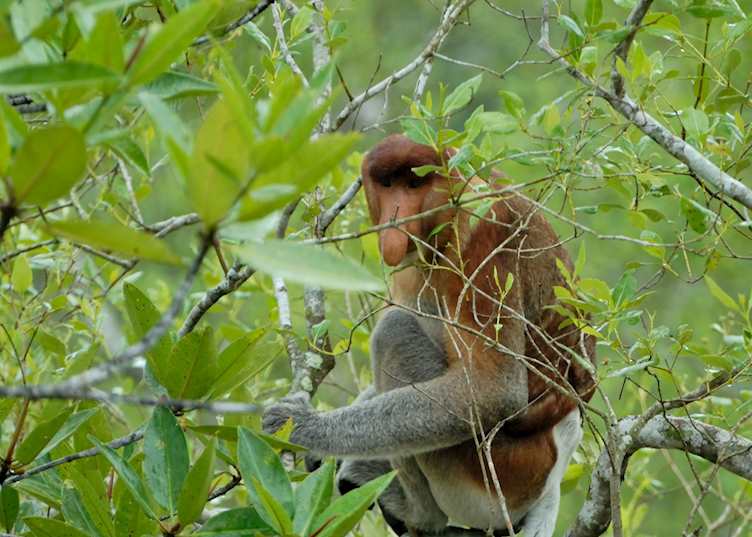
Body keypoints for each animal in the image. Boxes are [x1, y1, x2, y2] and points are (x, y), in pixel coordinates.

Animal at [263, 134, 596, 537]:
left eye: (414, 184)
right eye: (387, 184)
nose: (395, 220)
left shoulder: (484, 230)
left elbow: (492, 390)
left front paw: (302, 427)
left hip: (495, 476)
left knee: (393, 331)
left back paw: (416, 513)